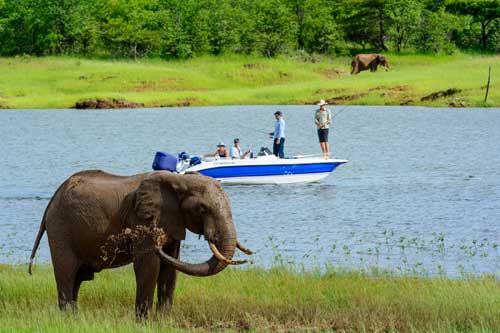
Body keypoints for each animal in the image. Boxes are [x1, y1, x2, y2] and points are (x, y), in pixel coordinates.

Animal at [29, 170, 252, 318]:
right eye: (203, 209)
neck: (179, 180)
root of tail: (51, 201)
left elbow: (170, 268)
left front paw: (163, 321)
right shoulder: (142, 220)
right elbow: (148, 266)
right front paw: (144, 322)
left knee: (76, 278)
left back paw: (75, 318)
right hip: (61, 229)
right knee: (66, 273)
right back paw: (67, 317)